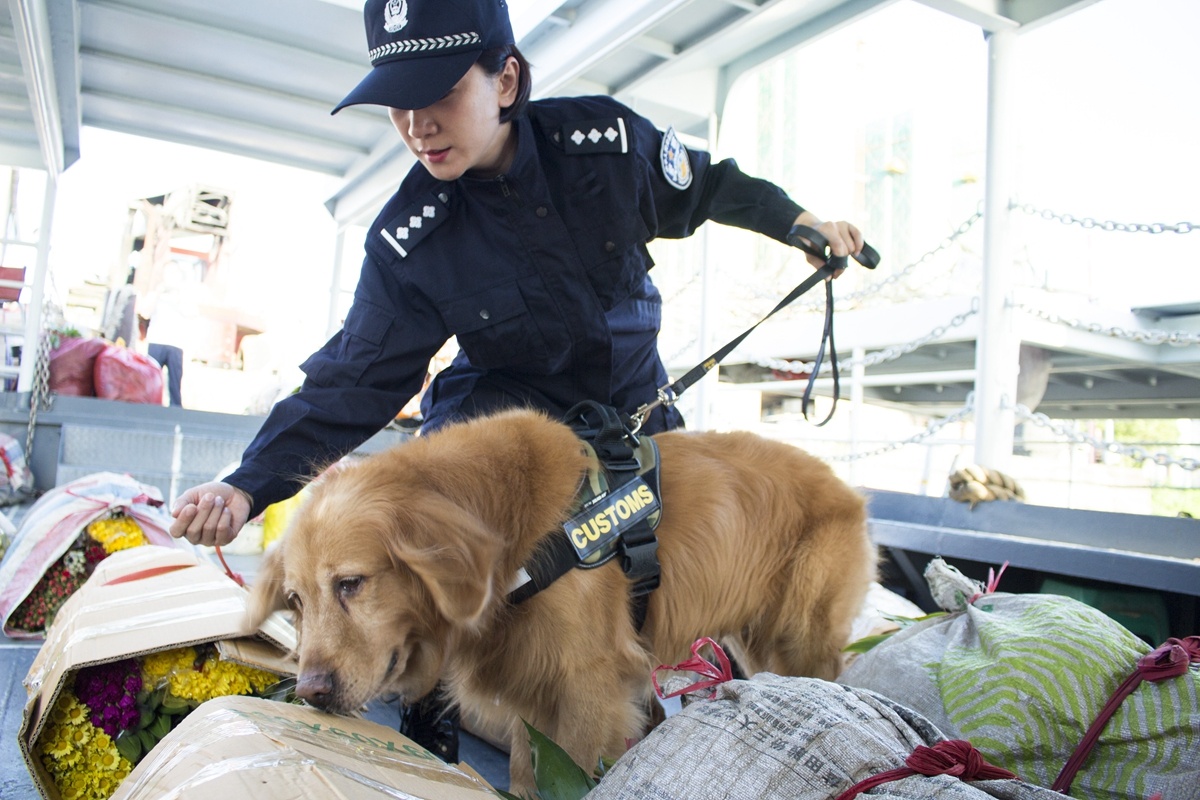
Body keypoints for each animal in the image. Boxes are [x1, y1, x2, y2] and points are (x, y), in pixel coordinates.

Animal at [246, 410, 883, 791]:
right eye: (296, 601)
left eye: (350, 583)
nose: (310, 692)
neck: (511, 526)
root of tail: (846, 485)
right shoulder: (535, 687)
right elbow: (526, 770)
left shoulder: (587, 690)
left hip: (799, 641)